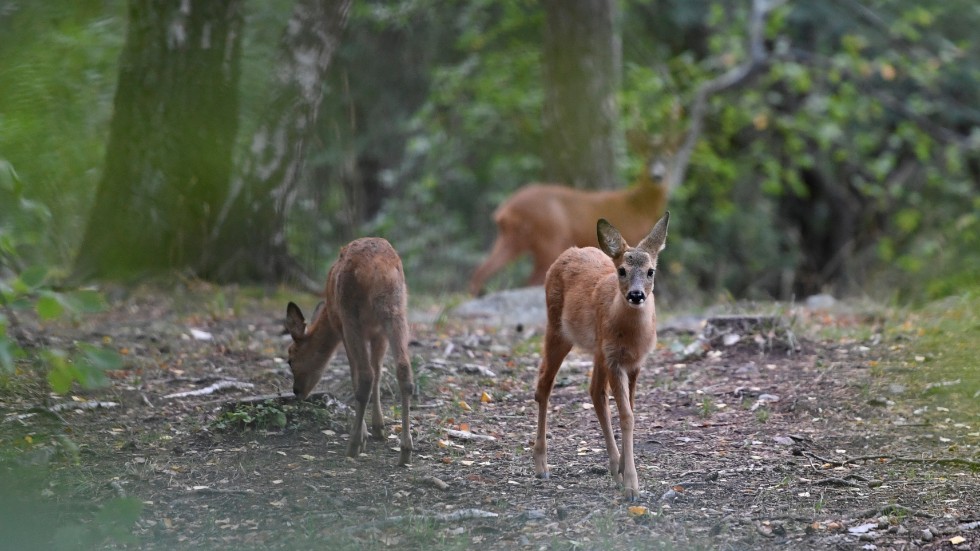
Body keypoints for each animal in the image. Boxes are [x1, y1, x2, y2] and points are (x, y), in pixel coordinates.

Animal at [284, 237, 414, 466]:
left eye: (290, 358)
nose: (296, 391)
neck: (327, 313)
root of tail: (379, 269)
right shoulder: (378, 334)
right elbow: (379, 371)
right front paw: (378, 427)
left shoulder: (342, 328)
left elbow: (358, 374)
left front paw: (364, 434)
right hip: (395, 310)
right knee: (402, 368)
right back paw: (406, 450)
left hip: (350, 314)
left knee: (365, 375)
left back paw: (353, 445)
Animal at [470, 132, 676, 296]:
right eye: (647, 158)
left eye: (667, 157)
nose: (657, 175)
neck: (636, 206)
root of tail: (505, 209)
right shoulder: (630, 240)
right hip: (549, 239)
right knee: (530, 280)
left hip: (511, 239)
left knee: (481, 269)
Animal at [532, 213, 668, 502]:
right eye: (622, 271)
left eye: (650, 271)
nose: (636, 295)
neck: (630, 335)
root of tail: (567, 252)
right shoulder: (615, 359)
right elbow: (626, 415)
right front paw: (632, 486)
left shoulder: (635, 362)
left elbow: (631, 410)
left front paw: (625, 472)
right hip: (558, 329)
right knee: (544, 385)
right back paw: (541, 466)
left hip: (597, 350)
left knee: (595, 392)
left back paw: (613, 466)